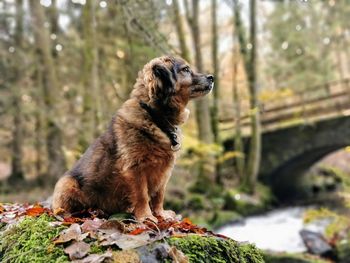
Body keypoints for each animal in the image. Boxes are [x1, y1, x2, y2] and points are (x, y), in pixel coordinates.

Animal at [52, 55, 213, 223]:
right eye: (185, 69)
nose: (212, 77)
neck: (154, 116)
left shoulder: (164, 171)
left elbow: (159, 195)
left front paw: (160, 214)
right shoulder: (135, 168)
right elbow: (142, 195)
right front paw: (146, 217)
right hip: (67, 184)